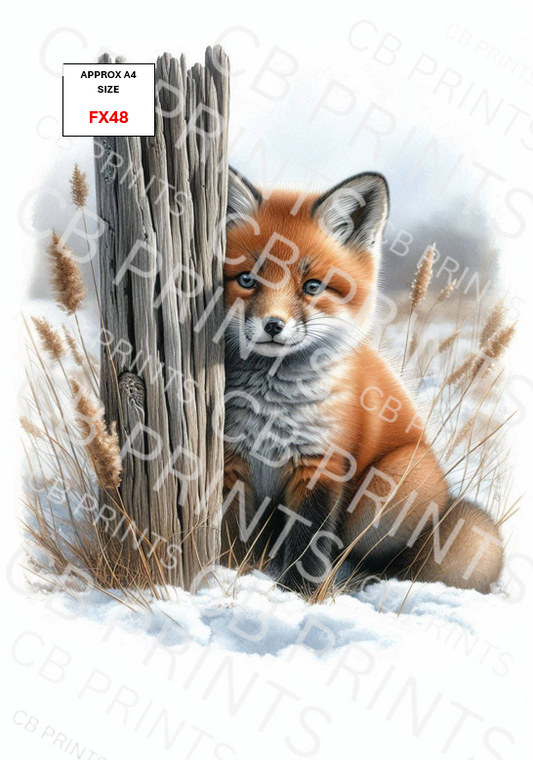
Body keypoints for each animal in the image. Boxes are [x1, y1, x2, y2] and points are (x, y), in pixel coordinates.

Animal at [221, 166, 504, 596]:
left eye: (312, 286)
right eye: (247, 280)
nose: (273, 325)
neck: (272, 407)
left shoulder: (321, 464)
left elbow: (308, 542)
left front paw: (298, 595)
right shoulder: (231, 460)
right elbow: (228, 532)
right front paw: (223, 575)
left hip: (391, 484)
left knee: (377, 559)